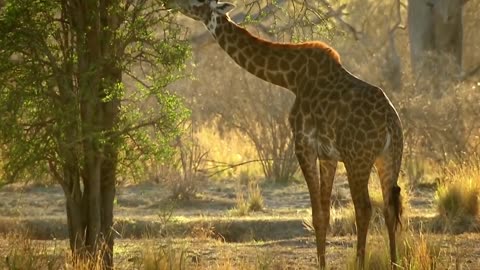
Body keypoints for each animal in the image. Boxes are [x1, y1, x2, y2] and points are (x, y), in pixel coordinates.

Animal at [167, 0, 404, 266]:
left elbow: (317, 215)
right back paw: (395, 263)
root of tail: (390, 123)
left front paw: (321, 265)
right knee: (389, 207)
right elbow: (325, 212)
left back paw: (362, 263)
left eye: (197, 2)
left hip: (358, 160)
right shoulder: (328, 155)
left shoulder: (303, 144)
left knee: (364, 208)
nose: (170, 3)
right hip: (389, 158)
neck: (291, 78)